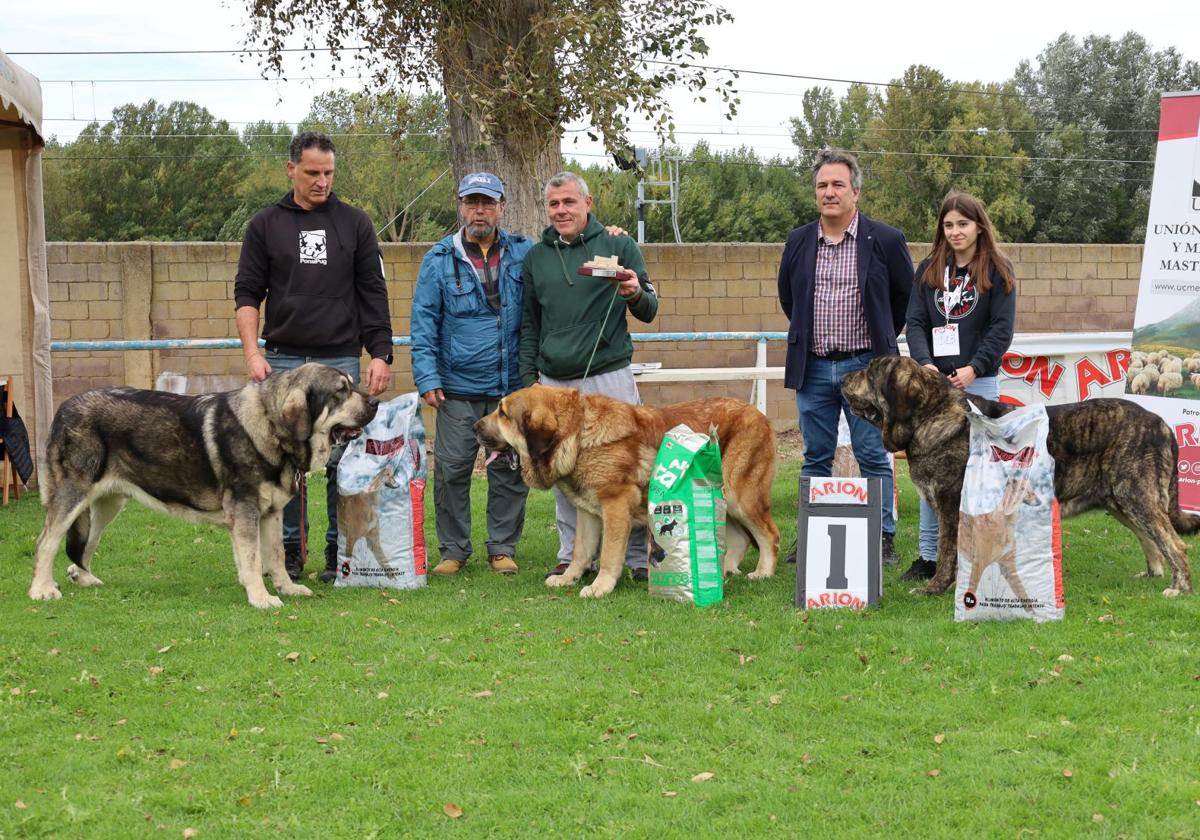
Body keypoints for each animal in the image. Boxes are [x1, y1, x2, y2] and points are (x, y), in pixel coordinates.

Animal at [30, 364, 376, 607]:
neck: (270, 426)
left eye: (352, 384)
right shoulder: (246, 511)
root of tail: (64, 407)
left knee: (86, 544)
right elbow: (253, 560)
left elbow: (276, 556)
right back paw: (41, 589)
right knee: (46, 541)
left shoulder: (270, 514)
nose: (375, 401)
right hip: (73, 494)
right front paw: (261, 598)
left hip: (108, 504)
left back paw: (84, 578)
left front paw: (287, 588)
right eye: (341, 391)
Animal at [844, 355, 1200, 597]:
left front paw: (934, 589)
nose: (844, 376)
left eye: (870, 371)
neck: (931, 415)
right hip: (1120, 500)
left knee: (1174, 543)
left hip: (1135, 494)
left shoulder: (951, 508)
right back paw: (1153, 574)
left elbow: (947, 554)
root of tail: (1161, 423)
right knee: (1151, 539)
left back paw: (1179, 587)